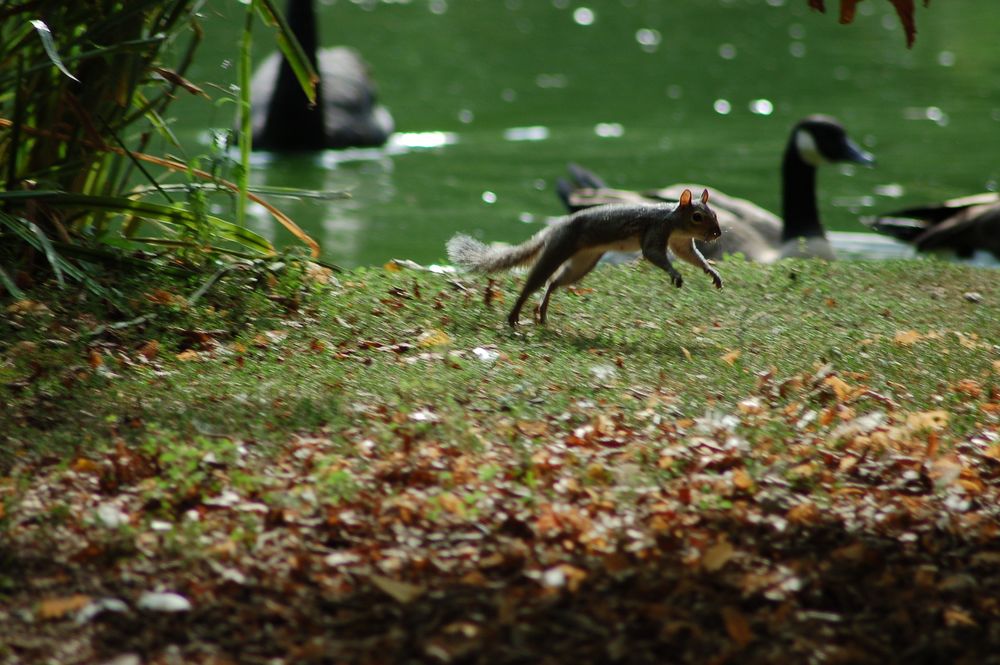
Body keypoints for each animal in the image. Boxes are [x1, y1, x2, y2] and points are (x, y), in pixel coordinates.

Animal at [447, 188, 723, 327]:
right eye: (697, 216)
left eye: (714, 213)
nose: (717, 234)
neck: (673, 220)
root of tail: (552, 229)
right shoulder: (656, 231)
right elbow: (654, 253)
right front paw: (675, 273)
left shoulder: (680, 242)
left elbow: (690, 255)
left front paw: (712, 272)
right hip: (558, 250)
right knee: (534, 283)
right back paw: (514, 317)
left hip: (583, 263)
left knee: (553, 283)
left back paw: (542, 314)